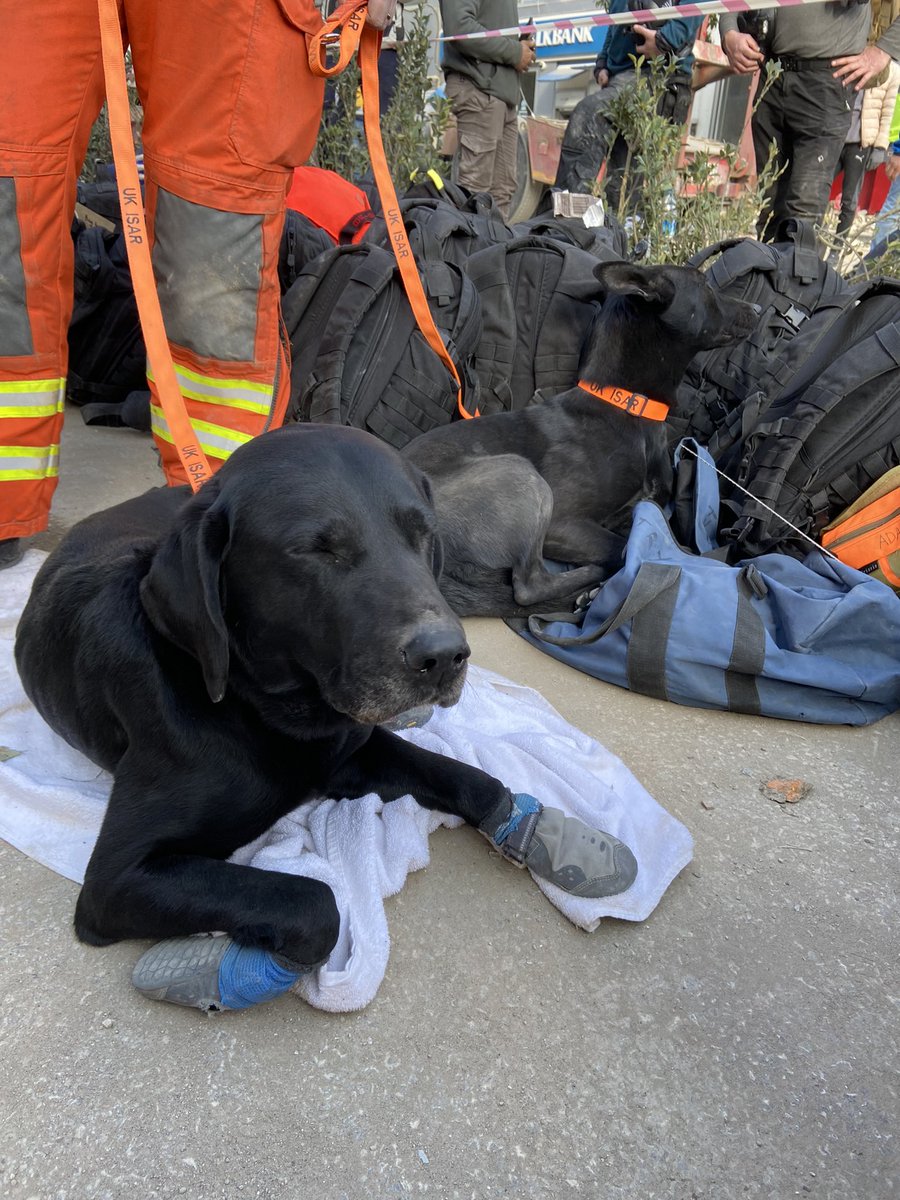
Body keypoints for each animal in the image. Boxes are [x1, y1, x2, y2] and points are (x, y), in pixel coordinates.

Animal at [12, 422, 633, 1012]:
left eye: (422, 535)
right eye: (316, 550)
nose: (445, 657)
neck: (265, 709)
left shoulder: (350, 752)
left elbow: (474, 780)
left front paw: (546, 831)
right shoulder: (116, 878)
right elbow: (314, 903)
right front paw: (220, 969)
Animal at [403, 262, 763, 619]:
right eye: (704, 284)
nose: (758, 309)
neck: (627, 406)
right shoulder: (562, 521)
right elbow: (632, 546)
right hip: (522, 476)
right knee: (529, 585)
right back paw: (591, 584)